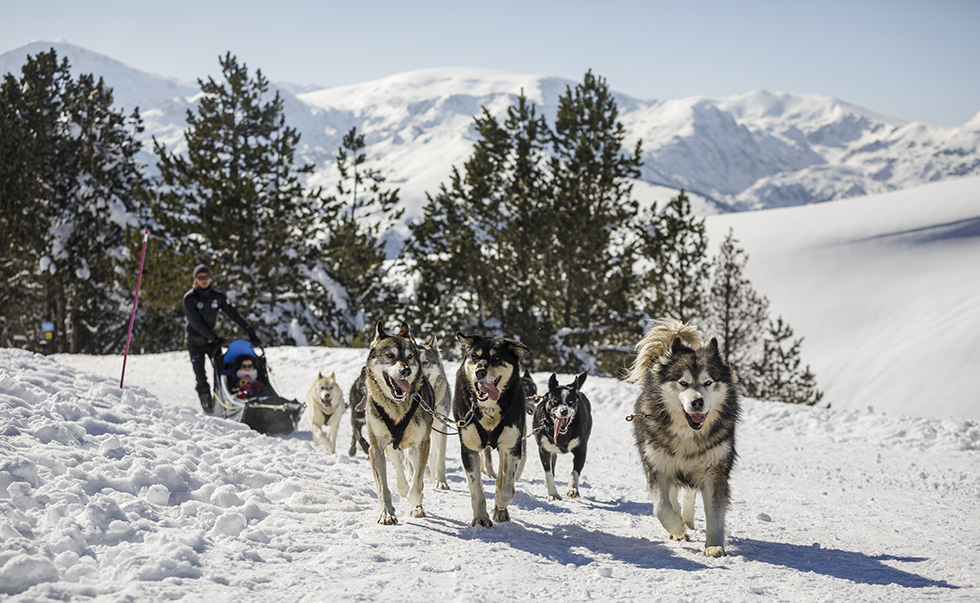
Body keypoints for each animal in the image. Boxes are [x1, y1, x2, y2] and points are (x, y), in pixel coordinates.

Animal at [362, 320, 434, 524]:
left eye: (409, 357)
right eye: (389, 355)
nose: (406, 370)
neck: (397, 407)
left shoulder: (423, 443)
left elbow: (417, 483)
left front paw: (416, 501)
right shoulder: (376, 447)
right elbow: (382, 487)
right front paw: (387, 513)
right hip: (390, 445)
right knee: (397, 463)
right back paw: (402, 488)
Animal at [452, 332, 528, 528]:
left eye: (497, 358)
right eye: (475, 356)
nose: (480, 372)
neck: (489, 410)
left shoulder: (512, 448)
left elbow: (507, 487)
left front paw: (501, 504)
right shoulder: (469, 449)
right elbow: (476, 489)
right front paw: (480, 518)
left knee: (502, 477)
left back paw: (501, 510)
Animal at [532, 372, 592, 500]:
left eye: (570, 401)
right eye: (555, 401)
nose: (564, 411)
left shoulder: (581, 450)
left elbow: (574, 472)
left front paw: (573, 489)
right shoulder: (544, 450)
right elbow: (548, 473)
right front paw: (553, 494)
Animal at [628, 318, 744, 560]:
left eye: (708, 382)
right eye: (683, 383)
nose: (697, 402)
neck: (688, 435)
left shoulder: (714, 470)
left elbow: (715, 513)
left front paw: (714, 546)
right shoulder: (657, 466)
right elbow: (661, 507)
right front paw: (677, 528)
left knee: (690, 493)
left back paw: (688, 519)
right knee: (672, 496)